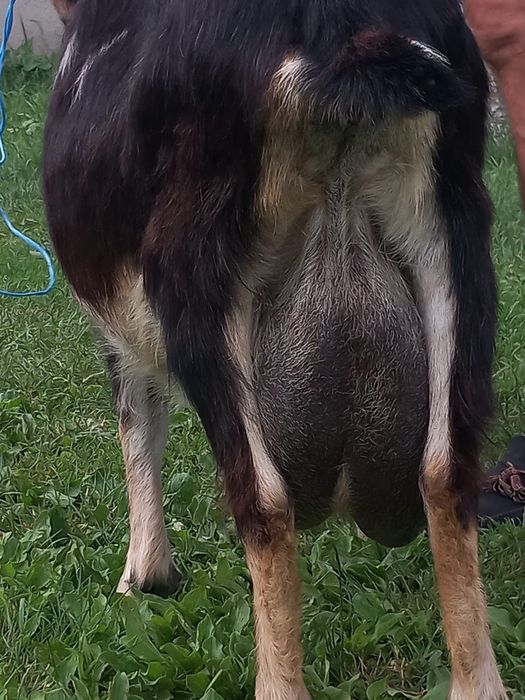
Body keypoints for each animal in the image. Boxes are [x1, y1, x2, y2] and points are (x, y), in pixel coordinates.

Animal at [43, 1, 506, 698]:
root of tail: (333, 30)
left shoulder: (125, 333)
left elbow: (137, 425)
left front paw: (142, 579)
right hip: (452, 236)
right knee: (446, 470)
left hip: (196, 280)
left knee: (263, 501)